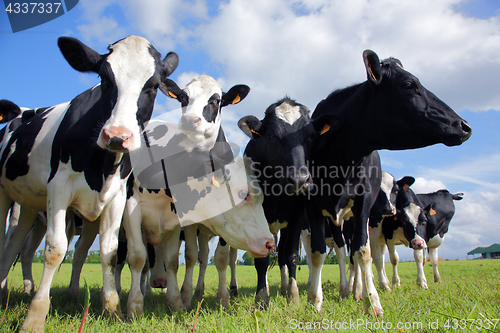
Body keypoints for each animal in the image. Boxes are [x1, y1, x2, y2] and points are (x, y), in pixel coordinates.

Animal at [0, 33, 179, 330]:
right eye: (104, 79)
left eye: (153, 86)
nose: (117, 136)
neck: (101, 167)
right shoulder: (59, 188)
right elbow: (55, 249)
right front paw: (35, 317)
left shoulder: (117, 197)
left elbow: (109, 252)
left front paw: (112, 309)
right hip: (5, 195)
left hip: (28, 206)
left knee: (18, 245)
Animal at [237, 97, 336, 308]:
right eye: (271, 136)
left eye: (310, 136)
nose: (299, 179)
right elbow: (261, 260)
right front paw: (261, 298)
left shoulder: (296, 216)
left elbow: (290, 255)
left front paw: (293, 295)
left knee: (281, 253)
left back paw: (284, 288)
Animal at [304, 48, 472, 314]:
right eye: (408, 84)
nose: (464, 126)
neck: (339, 156)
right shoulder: (313, 204)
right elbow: (319, 253)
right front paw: (315, 300)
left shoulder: (364, 205)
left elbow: (363, 252)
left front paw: (373, 301)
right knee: (341, 252)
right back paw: (346, 288)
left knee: (357, 254)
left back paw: (357, 290)